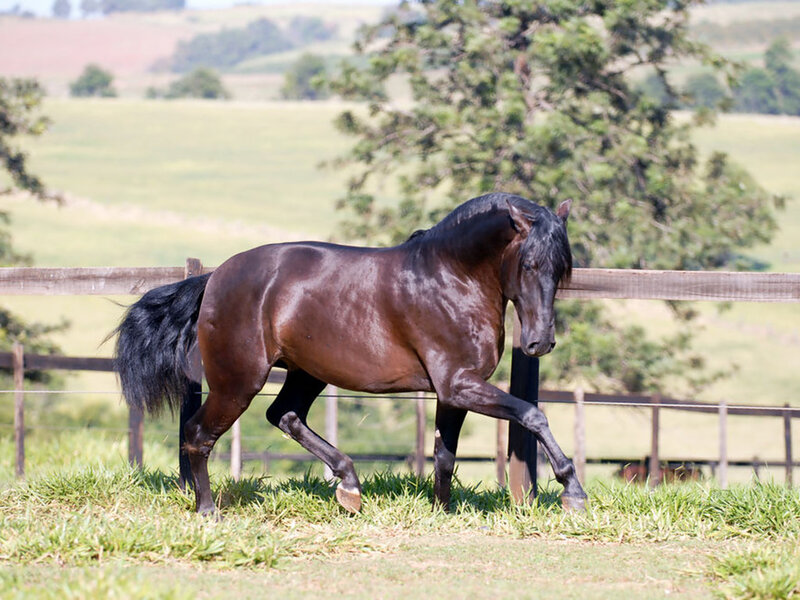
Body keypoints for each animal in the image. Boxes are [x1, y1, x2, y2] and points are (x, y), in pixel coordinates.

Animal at [113, 192, 587, 515]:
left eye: (562, 268)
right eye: (529, 264)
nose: (540, 343)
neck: (451, 278)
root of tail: (214, 279)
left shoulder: (452, 391)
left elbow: (444, 455)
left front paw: (442, 511)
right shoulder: (460, 384)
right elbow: (533, 414)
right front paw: (573, 491)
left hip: (307, 372)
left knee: (284, 415)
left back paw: (350, 486)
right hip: (238, 382)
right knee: (198, 434)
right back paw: (208, 510)